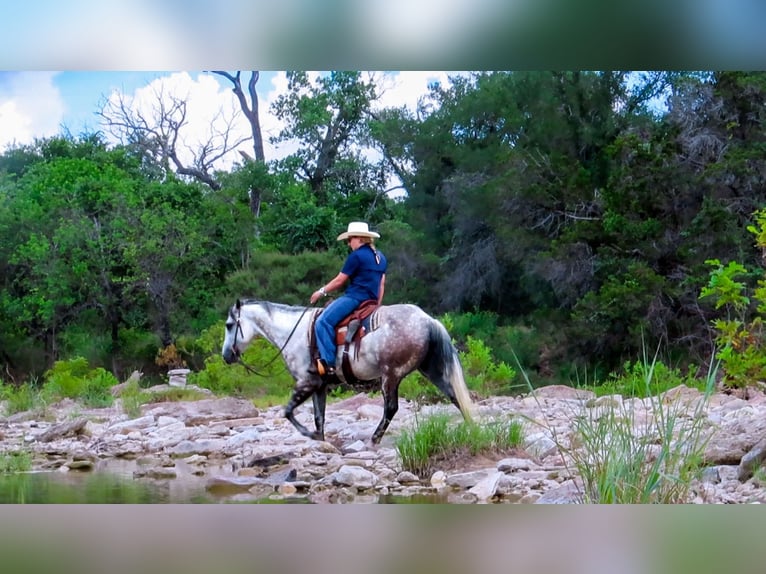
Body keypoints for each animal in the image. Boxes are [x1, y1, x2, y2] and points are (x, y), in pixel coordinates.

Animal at [221, 299, 475, 444]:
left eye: (229, 325)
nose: (226, 356)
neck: (294, 332)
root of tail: (428, 320)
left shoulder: (306, 382)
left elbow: (288, 411)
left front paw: (308, 434)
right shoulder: (320, 386)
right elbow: (319, 416)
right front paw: (320, 439)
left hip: (390, 375)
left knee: (391, 408)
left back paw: (373, 439)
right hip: (431, 371)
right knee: (455, 396)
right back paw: (473, 427)